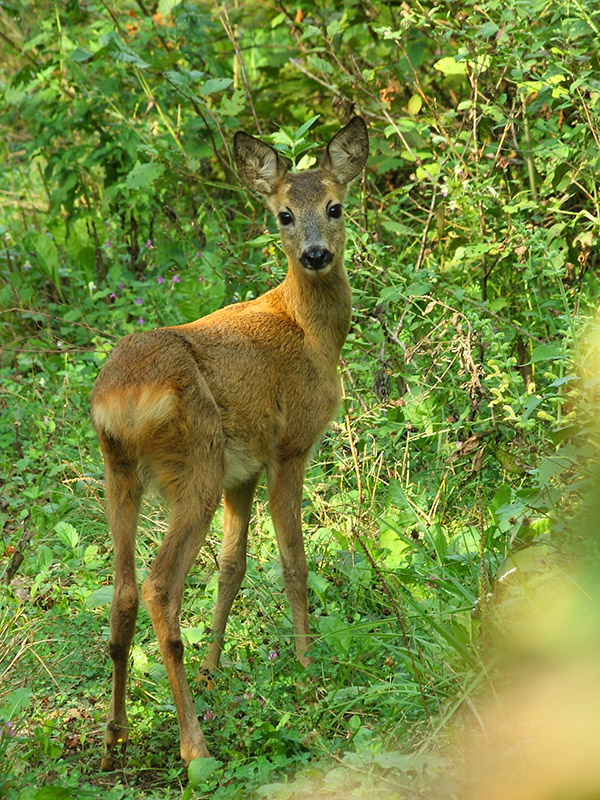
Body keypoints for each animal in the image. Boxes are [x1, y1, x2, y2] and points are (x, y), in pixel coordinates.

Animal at [91, 114, 368, 768]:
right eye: (283, 215)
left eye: (336, 206)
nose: (316, 254)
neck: (311, 332)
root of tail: (121, 398)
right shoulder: (290, 446)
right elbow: (293, 562)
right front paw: (308, 667)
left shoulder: (244, 472)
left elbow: (232, 567)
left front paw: (216, 667)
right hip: (196, 461)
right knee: (160, 586)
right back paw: (194, 746)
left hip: (123, 472)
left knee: (123, 590)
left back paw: (116, 734)